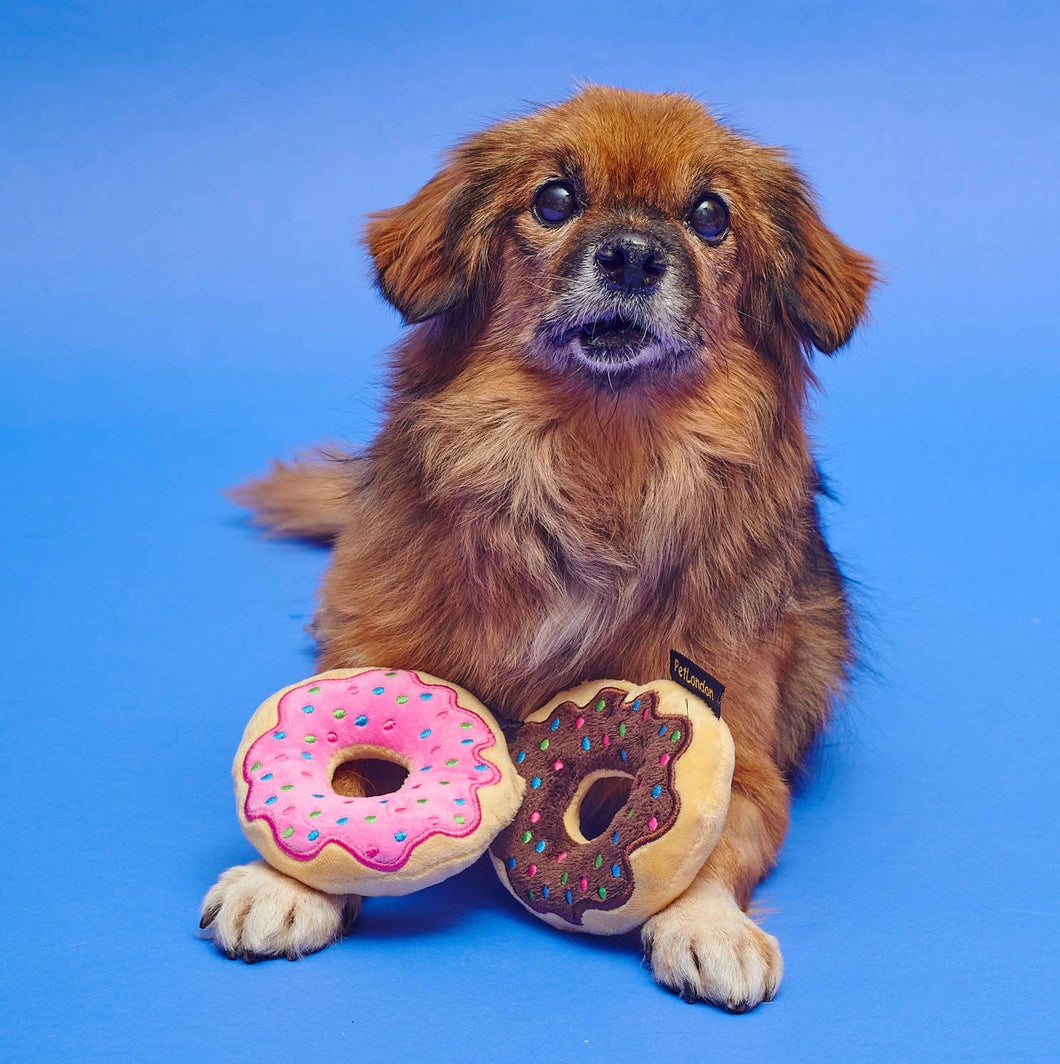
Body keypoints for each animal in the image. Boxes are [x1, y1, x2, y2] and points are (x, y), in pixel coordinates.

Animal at [201, 87, 876, 1008]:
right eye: (554, 200)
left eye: (710, 216)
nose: (631, 257)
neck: (594, 456)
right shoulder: (377, 659)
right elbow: (348, 777)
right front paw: (285, 882)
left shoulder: (742, 745)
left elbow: (720, 841)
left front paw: (708, 924)